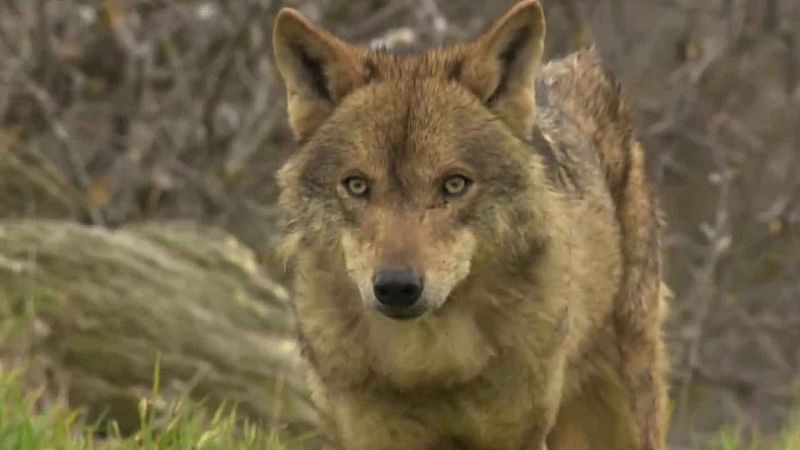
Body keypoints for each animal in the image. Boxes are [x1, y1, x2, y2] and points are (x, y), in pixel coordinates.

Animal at [272, 1, 669, 449]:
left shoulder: (518, 435)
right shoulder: (372, 437)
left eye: (454, 184)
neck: (428, 365)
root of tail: (577, 64)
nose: (396, 287)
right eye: (357, 185)